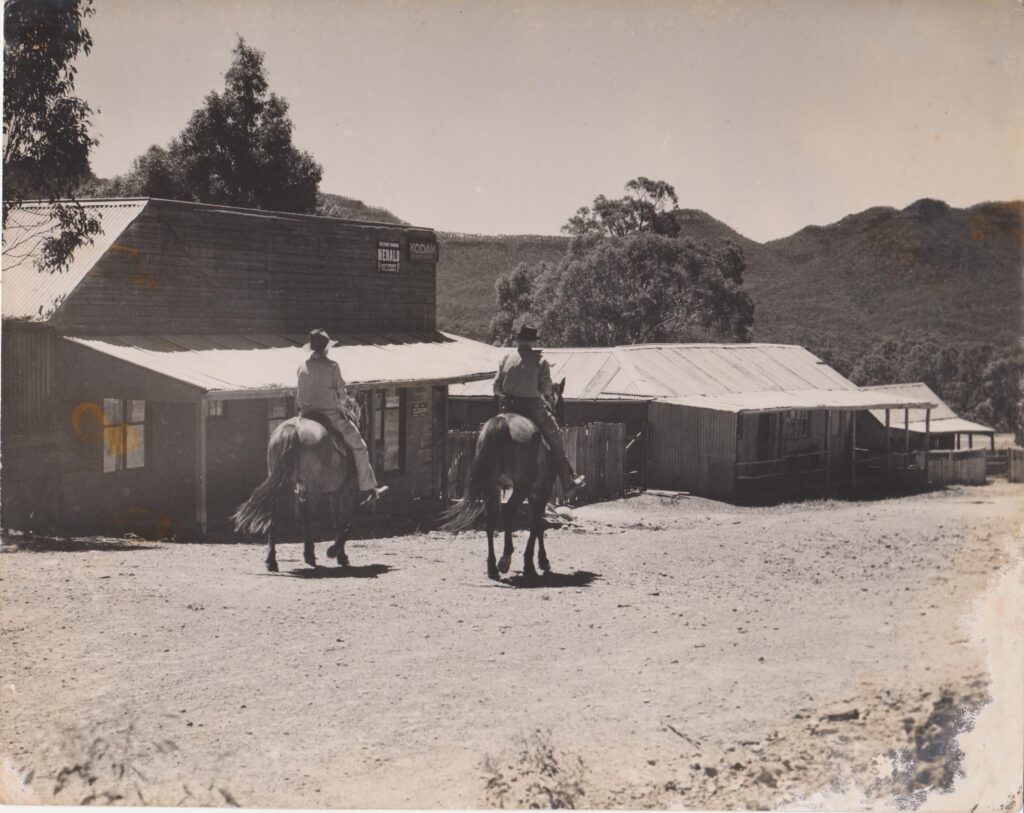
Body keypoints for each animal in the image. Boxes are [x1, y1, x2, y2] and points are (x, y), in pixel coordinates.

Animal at [230, 417, 358, 569]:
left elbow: (337, 523)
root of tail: (293, 428)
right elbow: (346, 524)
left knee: (274, 517)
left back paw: (271, 561)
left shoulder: (330, 493)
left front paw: (339, 554)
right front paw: (337, 553)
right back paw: (310, 556)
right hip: (314, 489)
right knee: (308, 516)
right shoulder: (346, 492)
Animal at [442, 378, 569, 577]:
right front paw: (538, 561)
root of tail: (501, 424)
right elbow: (537, 523)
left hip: (492, 486)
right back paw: (507, 559)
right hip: (521, 487)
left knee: (490, 518)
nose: (560, 420)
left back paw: (492, 566)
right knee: (509, 511)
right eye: (561, 403)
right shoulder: (542, 490)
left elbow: (538, 523)